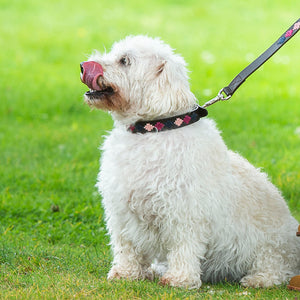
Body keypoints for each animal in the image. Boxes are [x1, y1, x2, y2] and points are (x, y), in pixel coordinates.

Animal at [80, 34, 300, 288]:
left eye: (124, 60)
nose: (83, 66)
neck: (152, 130)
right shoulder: (122, 210)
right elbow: (127, 245)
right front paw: (126, 273)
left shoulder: (184, 211)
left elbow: (183, 246)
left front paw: (180, 279)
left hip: (272, 250)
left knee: (278, 269)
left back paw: (259, 278)